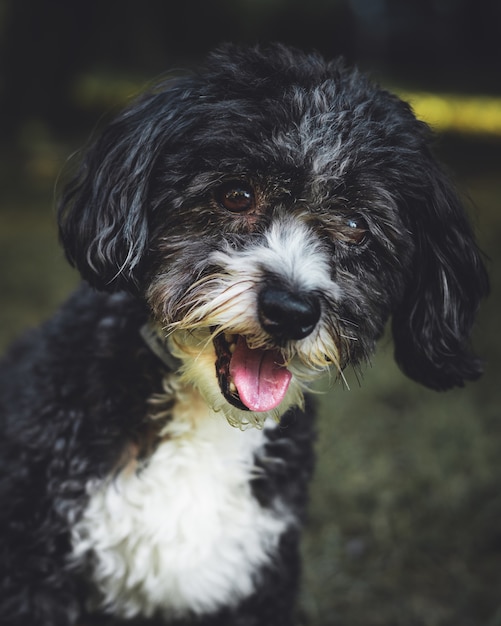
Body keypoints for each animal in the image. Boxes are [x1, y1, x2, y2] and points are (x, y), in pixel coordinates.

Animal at [0, 45, 486, 624]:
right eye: (236, 194)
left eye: (355, 225)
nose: (292, 310)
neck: (202, 416)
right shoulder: (35, 569)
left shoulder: (258, 581)